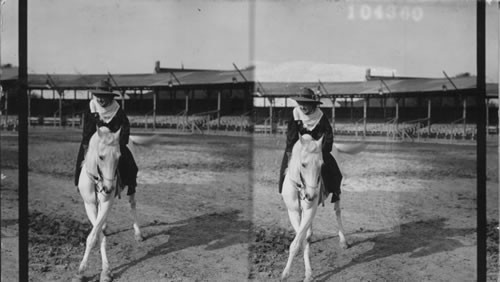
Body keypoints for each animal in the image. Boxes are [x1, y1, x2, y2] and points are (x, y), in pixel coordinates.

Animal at [73, 128, 146, 282]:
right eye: (101, 157)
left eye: (119, 157)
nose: (108, 189)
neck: (96, 179)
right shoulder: (89, 205)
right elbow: (97, 235)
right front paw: (81, 271)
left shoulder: (106, 202)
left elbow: (94, 236)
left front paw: (104, 271)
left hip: (131, 187)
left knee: (132, 205)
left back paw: (138, 233)